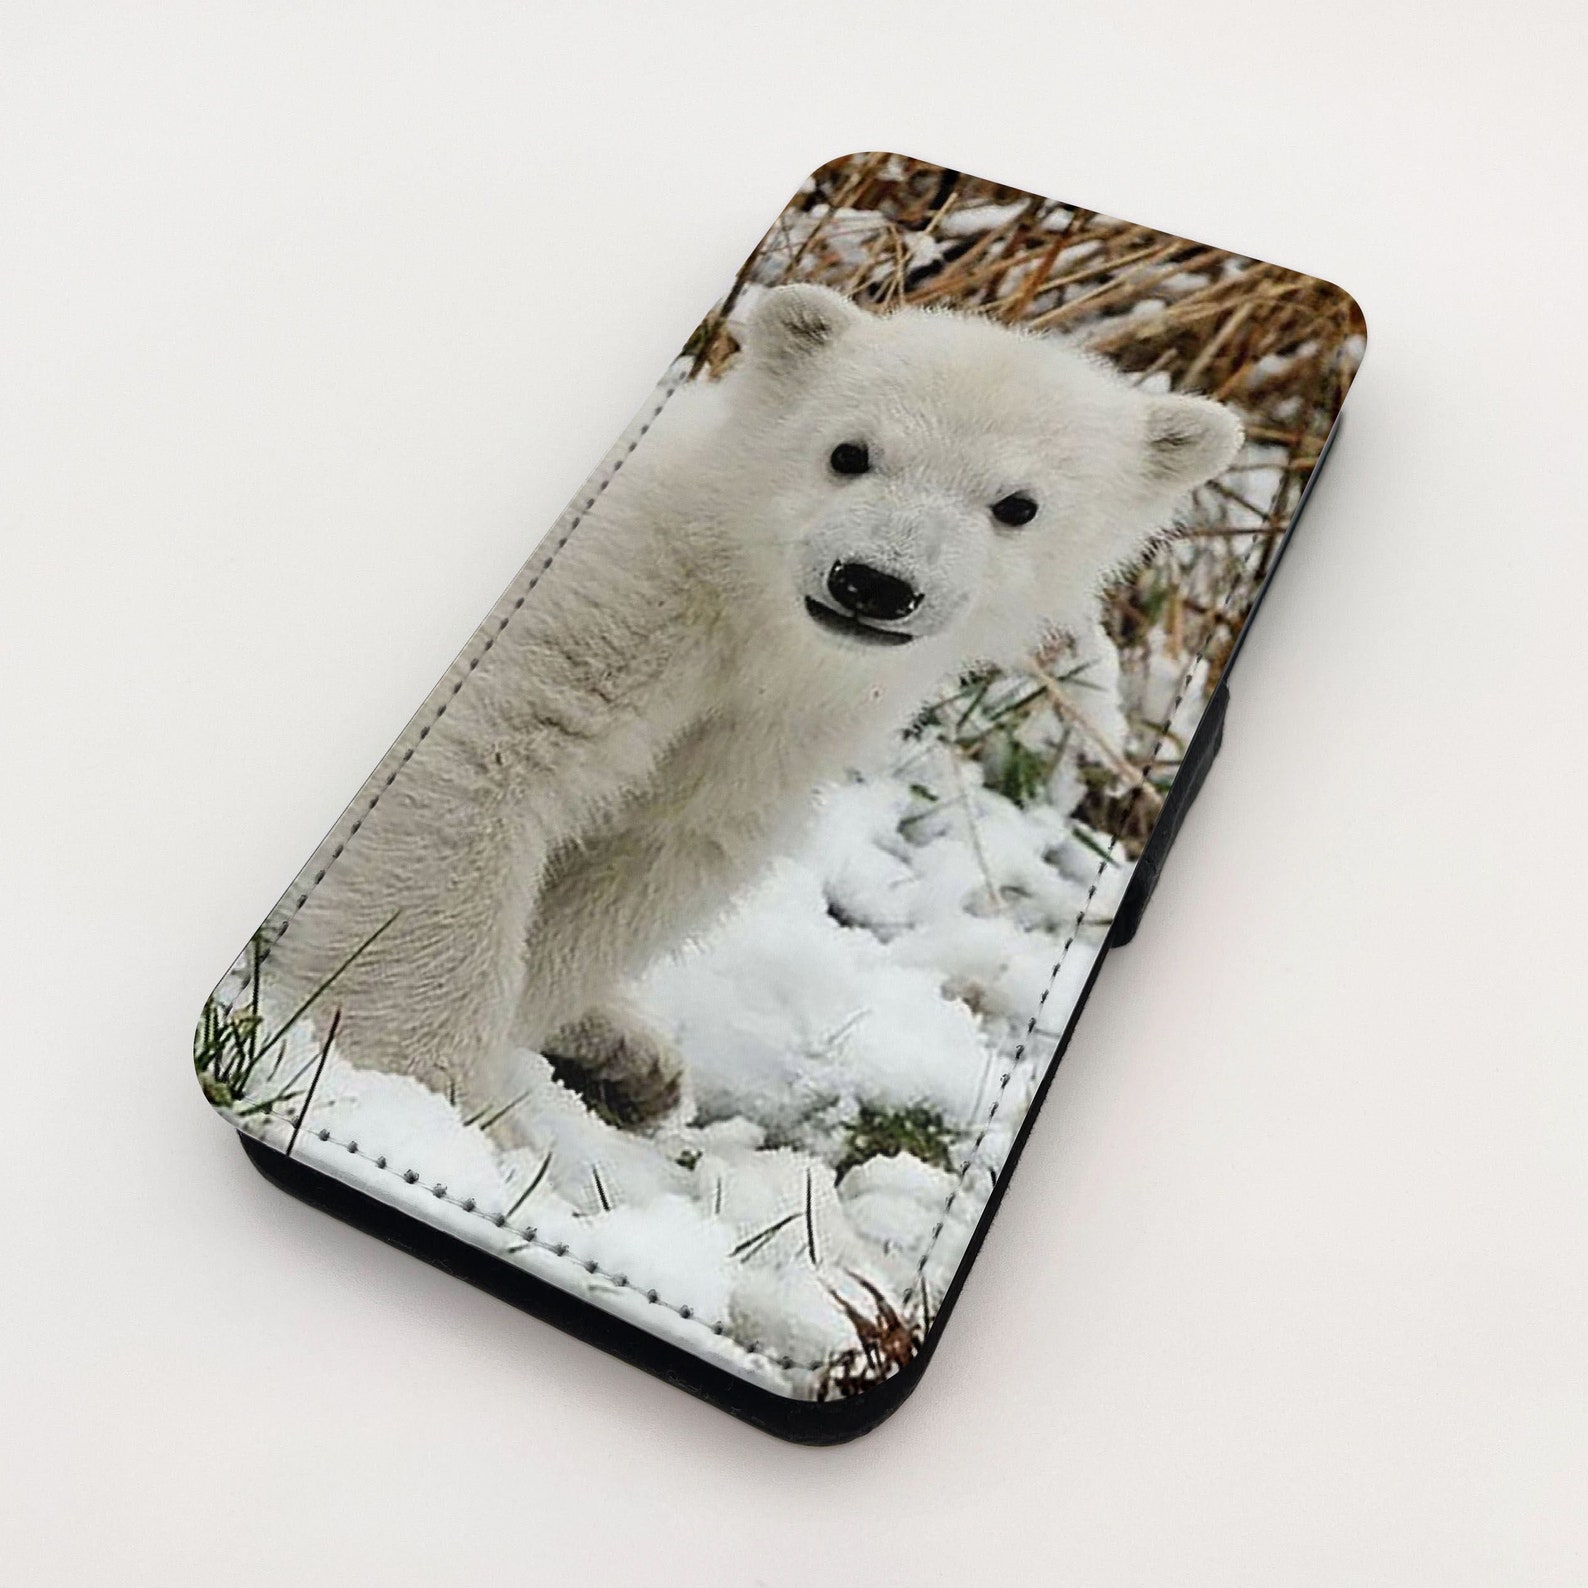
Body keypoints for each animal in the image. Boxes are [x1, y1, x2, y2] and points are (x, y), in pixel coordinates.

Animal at [259, 283, 1243, 1135]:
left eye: (1019, 505)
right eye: (850, 451)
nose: (874, 583)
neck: (743, 592)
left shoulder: (780, 724)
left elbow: (667, 850)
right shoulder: (620, 599)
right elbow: (486, 768)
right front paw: (430, 1099)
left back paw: (633, 1054)